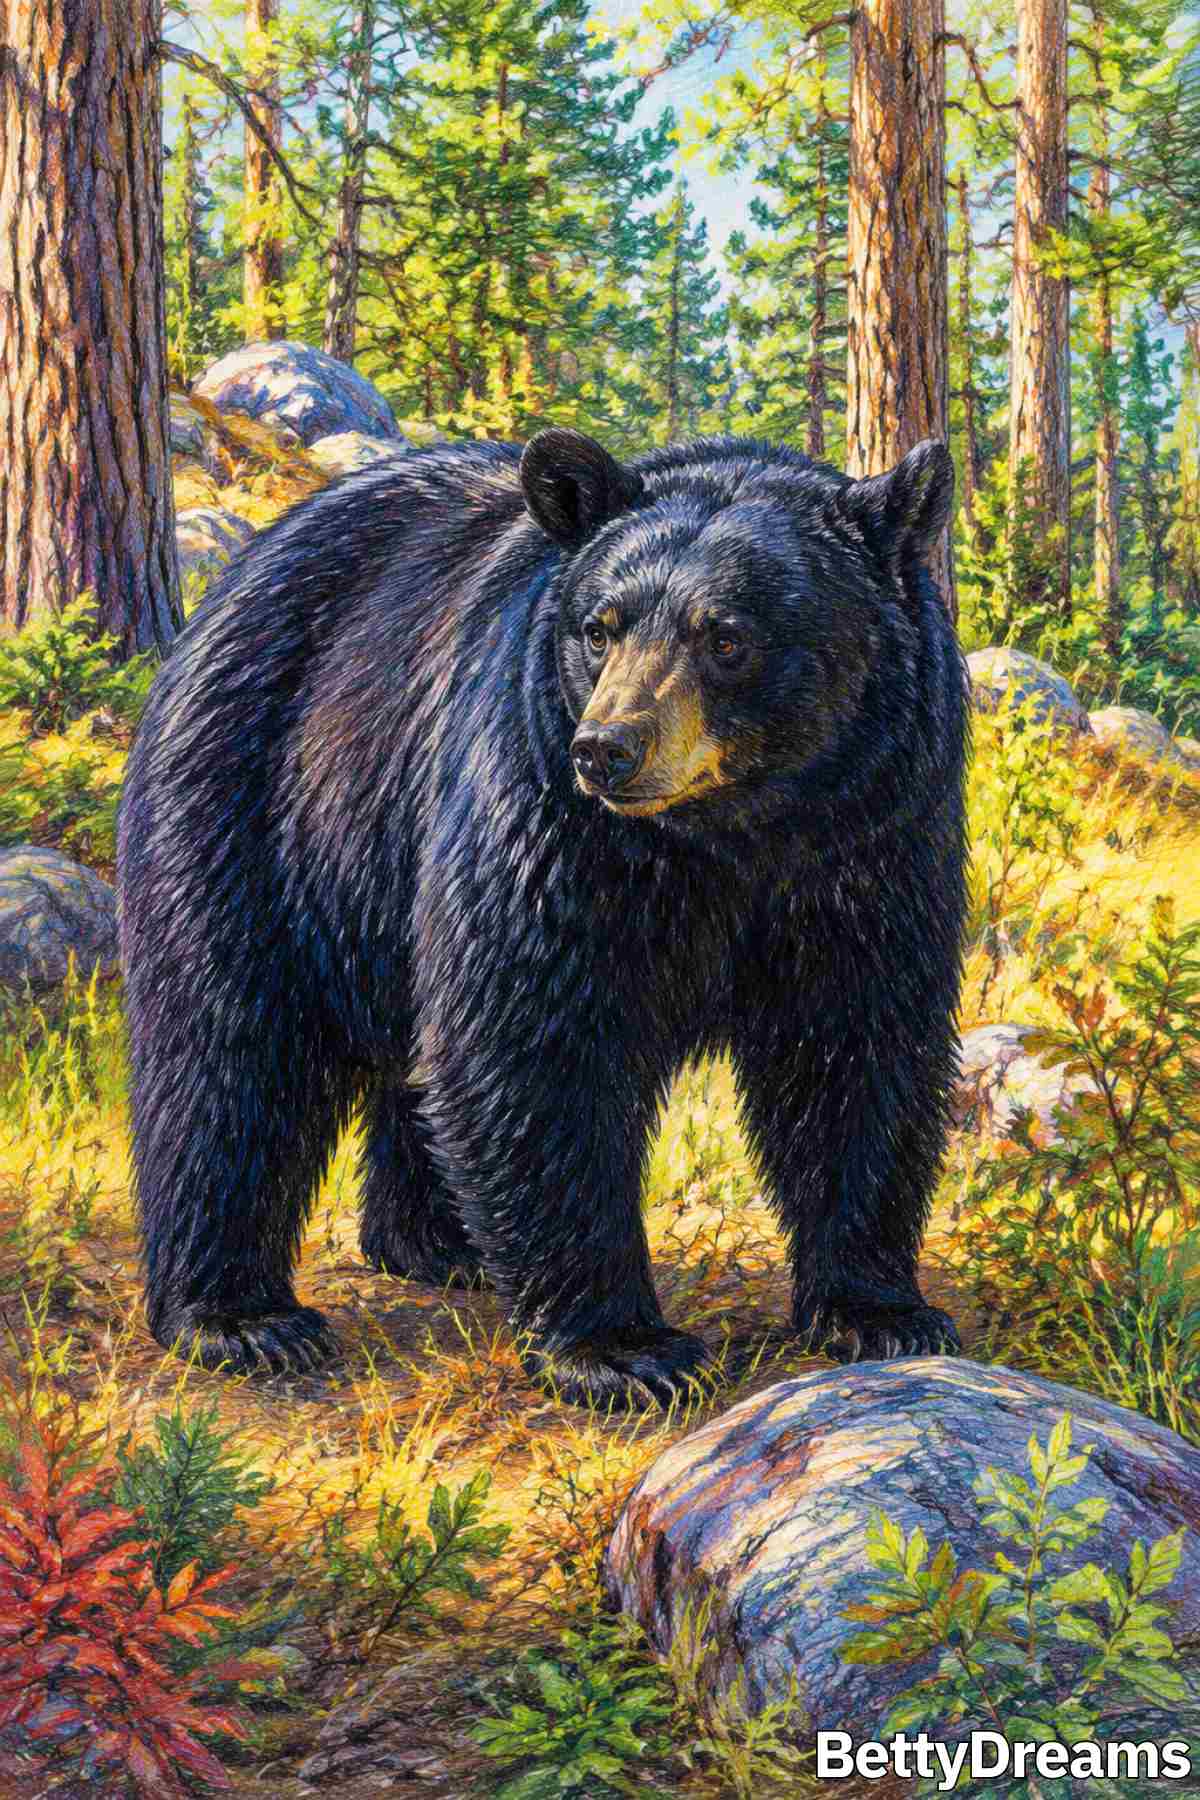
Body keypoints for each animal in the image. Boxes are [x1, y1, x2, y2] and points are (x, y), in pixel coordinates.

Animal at [117, 427, 968, 1407]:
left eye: (727, 636)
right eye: (600, 627)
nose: (606, 749)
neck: (736, 834)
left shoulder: (876, 840)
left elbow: (859, 1048)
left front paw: (881, 1310)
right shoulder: (545, 819)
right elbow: (536, 1040)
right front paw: (621, 1349)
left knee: (412, 1046)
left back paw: (438, 1242)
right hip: (251, 801)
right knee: (231, 1049)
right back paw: (240, 1317)